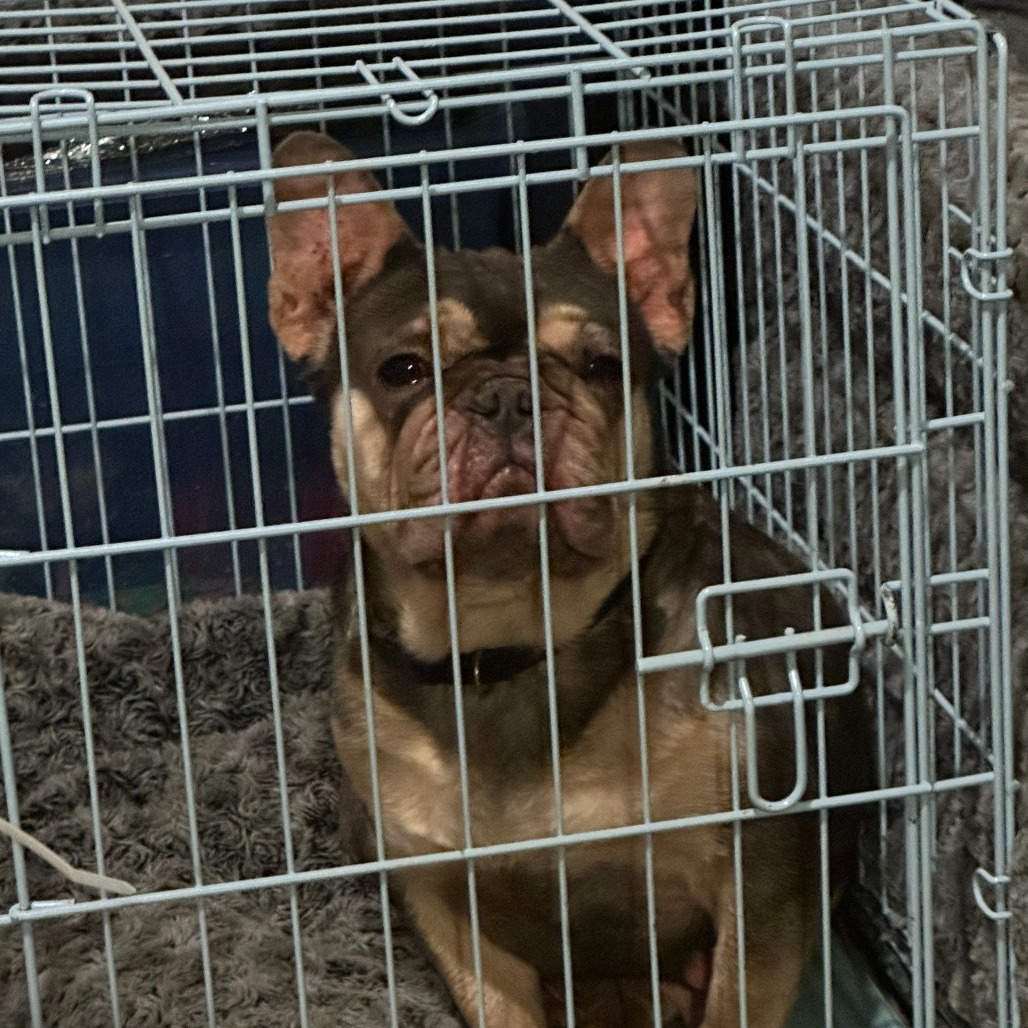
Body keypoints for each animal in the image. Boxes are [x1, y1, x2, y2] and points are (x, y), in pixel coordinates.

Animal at [265, 130, 869, 1028]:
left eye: (599, 366)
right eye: (403, 368)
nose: (508, 396)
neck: (508, 637)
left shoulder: (757, 886)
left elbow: (738, 996)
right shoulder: (437, 894)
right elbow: (495, 1003)